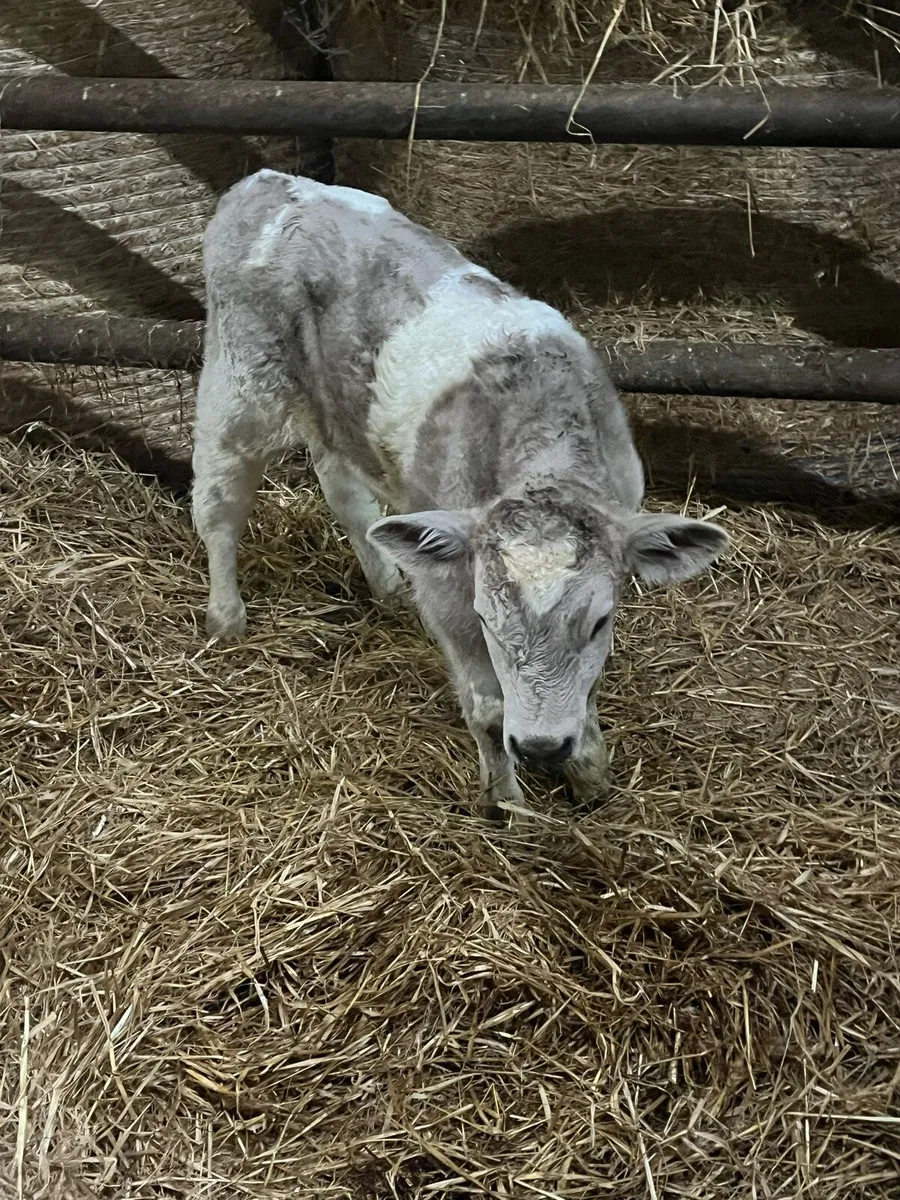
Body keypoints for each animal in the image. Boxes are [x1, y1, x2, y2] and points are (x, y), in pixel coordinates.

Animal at [192, 169, 729, 819]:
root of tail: (265, 183)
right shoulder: (448, 584)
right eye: (486, 619)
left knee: (341, 484)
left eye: (599, 621)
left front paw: (589, 771)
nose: (543, 746)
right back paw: (226, 616)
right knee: (219, 499)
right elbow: (490, 709)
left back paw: (385, 584)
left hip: (336, 408)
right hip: (241, 385)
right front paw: (507, 805)